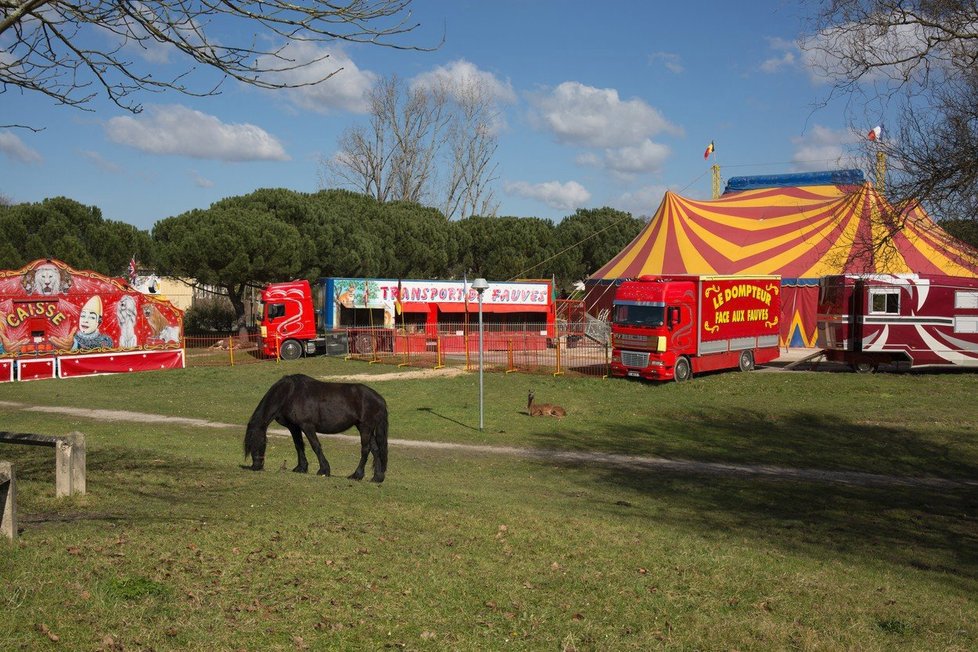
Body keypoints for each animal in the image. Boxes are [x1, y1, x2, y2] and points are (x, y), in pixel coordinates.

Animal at [244, 374, 388, 482]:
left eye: (258, 442)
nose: (255, 466)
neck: (289, 393)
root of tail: (379, 399)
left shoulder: (307, 426)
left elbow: (315, 446)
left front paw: (324, 470)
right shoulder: (294, 427)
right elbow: (299, 446)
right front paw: (301, 468)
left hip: (365, 427)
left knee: (365, 449)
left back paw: (356, 475)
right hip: (365, 428)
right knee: (375, 449)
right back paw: (377, 477)